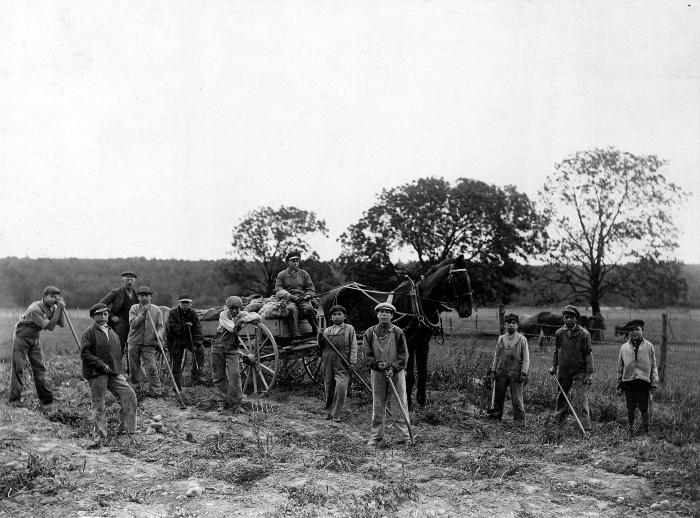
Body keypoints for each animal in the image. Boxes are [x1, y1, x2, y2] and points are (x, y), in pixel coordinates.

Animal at [322, 256, 474, 410]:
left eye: (468, 279)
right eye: (457, 279)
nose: (467, 311)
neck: (417, 304)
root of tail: (332, 292)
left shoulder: (423, 343)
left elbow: (423, 373)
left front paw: (421, 401)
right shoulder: (409, 343)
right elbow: (410, 375)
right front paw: (408, 402)